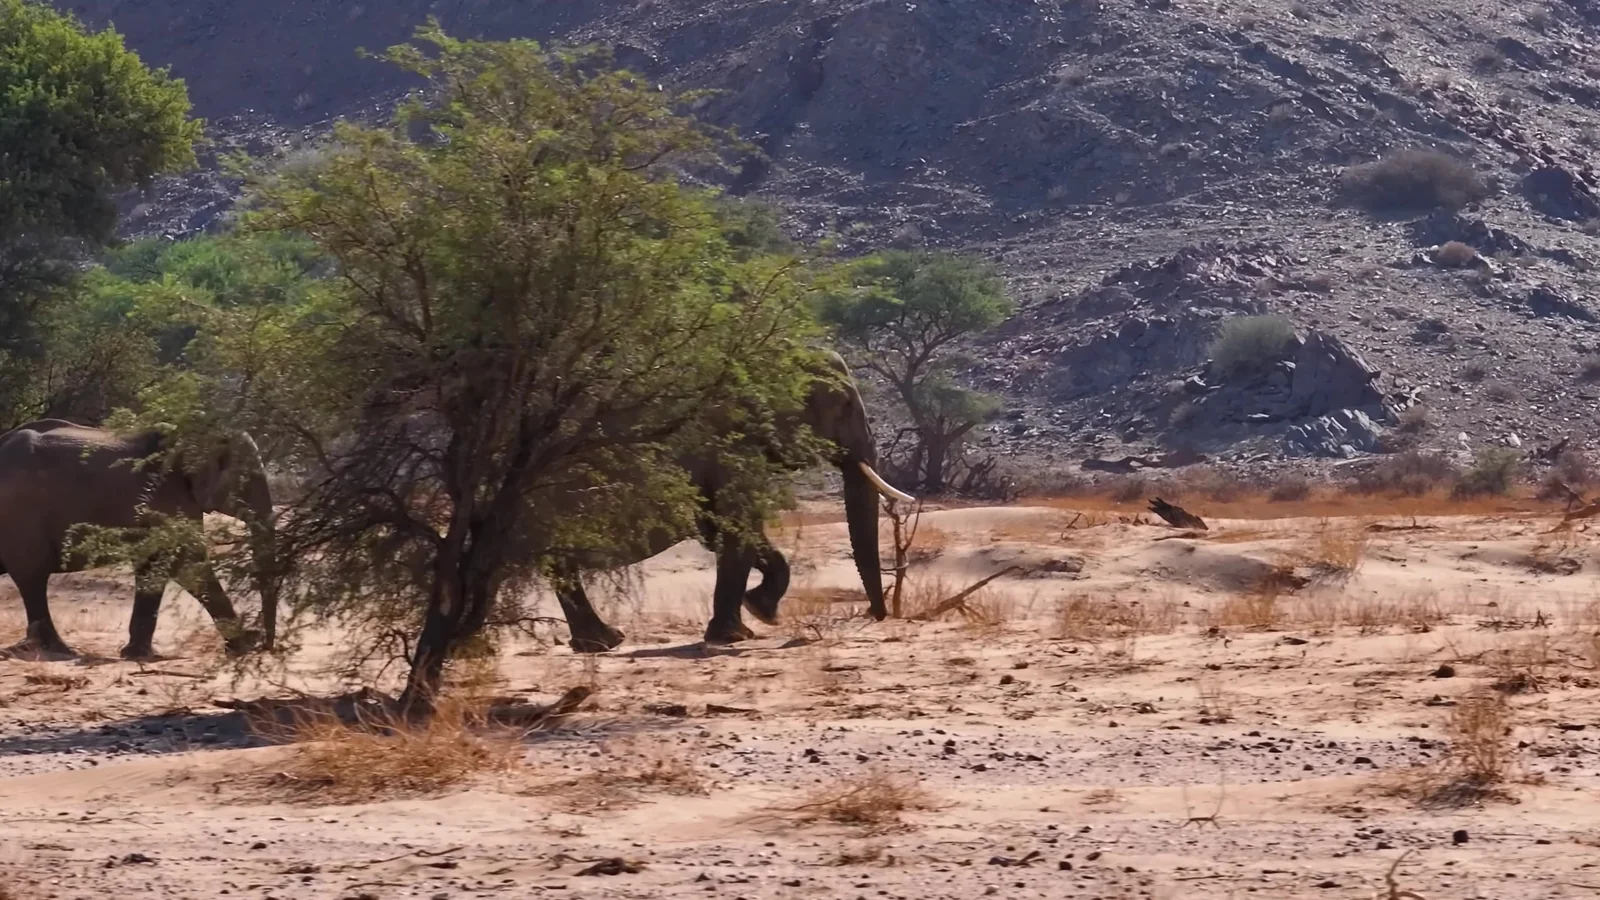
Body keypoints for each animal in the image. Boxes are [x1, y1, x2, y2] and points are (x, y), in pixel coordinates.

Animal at [0, 419, 279, 660]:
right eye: (249, 481)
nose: (267, 645)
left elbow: (154, 568)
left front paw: (136, 654)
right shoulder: (168, 499)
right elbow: (188, 564)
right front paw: (245, 645)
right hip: (20, 516)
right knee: (33, 578)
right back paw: (62, 651)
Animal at [551, 351, 914, 651]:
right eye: (846, 406)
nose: (875, 614)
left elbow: (723, 532)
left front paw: (761, 612)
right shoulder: (730, 443)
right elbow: (737, 527)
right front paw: (734, 635)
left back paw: (602, 642)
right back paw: (604, 642)